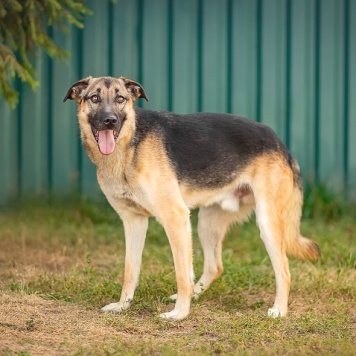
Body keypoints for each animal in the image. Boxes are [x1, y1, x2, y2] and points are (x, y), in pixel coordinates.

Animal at [63, 75, 320, 320]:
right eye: (94, 98)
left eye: (120, 99)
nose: (110, 120)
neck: (128, 146)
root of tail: (281, 144)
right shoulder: (134, 221)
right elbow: (130, 270)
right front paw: (123, 306)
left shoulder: (175, 218)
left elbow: (180, 272)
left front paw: (180, 314)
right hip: (206, 224)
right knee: (215, 266)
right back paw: (195, 295)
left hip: (266, 224)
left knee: (284, 270)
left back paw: (279, 310)